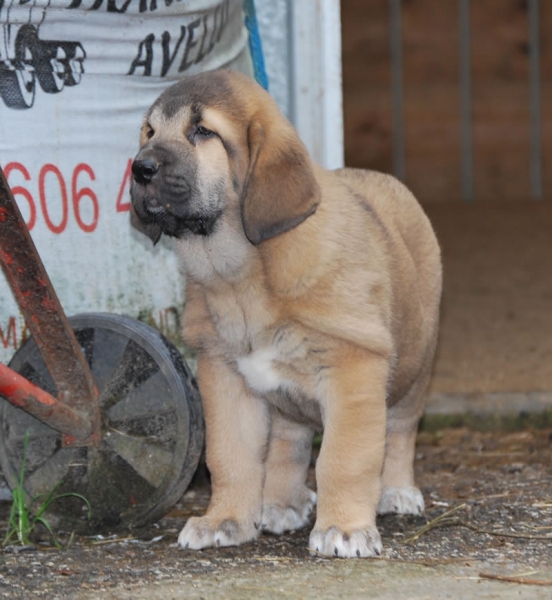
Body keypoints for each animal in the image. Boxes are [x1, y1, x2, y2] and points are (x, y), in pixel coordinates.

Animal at [129, 71, 440, 556]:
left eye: (203, 131)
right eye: (150, 132)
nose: (139, 168)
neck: (241, 274)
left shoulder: (353, 369)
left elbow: (344, 458)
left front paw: (345, 528)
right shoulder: (225, 375)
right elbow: (231, 456)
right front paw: (225, 519)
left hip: (414, 365)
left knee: (401, 430)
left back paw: (397, 491)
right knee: (289, 442)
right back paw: (282, 503)